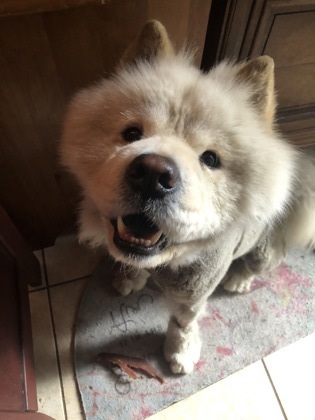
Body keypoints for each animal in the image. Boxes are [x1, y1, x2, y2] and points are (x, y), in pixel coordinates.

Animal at [59, 20, 315, 374]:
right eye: (132, 134)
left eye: (209, 159)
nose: (153, 174)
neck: (169, 260)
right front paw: (130, 279)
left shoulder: (193, 291)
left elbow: (183, 323)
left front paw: (179, 352)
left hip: (264, 248)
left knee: (262, 262)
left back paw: (239, 280)